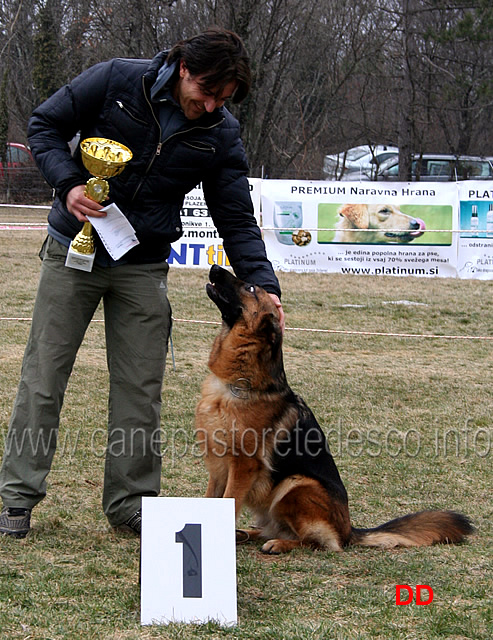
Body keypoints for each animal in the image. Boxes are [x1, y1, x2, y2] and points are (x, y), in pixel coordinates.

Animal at [195, 264, 472, 556]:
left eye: (250, 288)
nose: (214, 267)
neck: (234, 383)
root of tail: (349, 530)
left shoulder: (243, 467)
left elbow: (229, 502)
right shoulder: (218, 468)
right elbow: (211, 500)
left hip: (296, 484)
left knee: (318, 542)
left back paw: (280, 543)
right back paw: (247, 534)